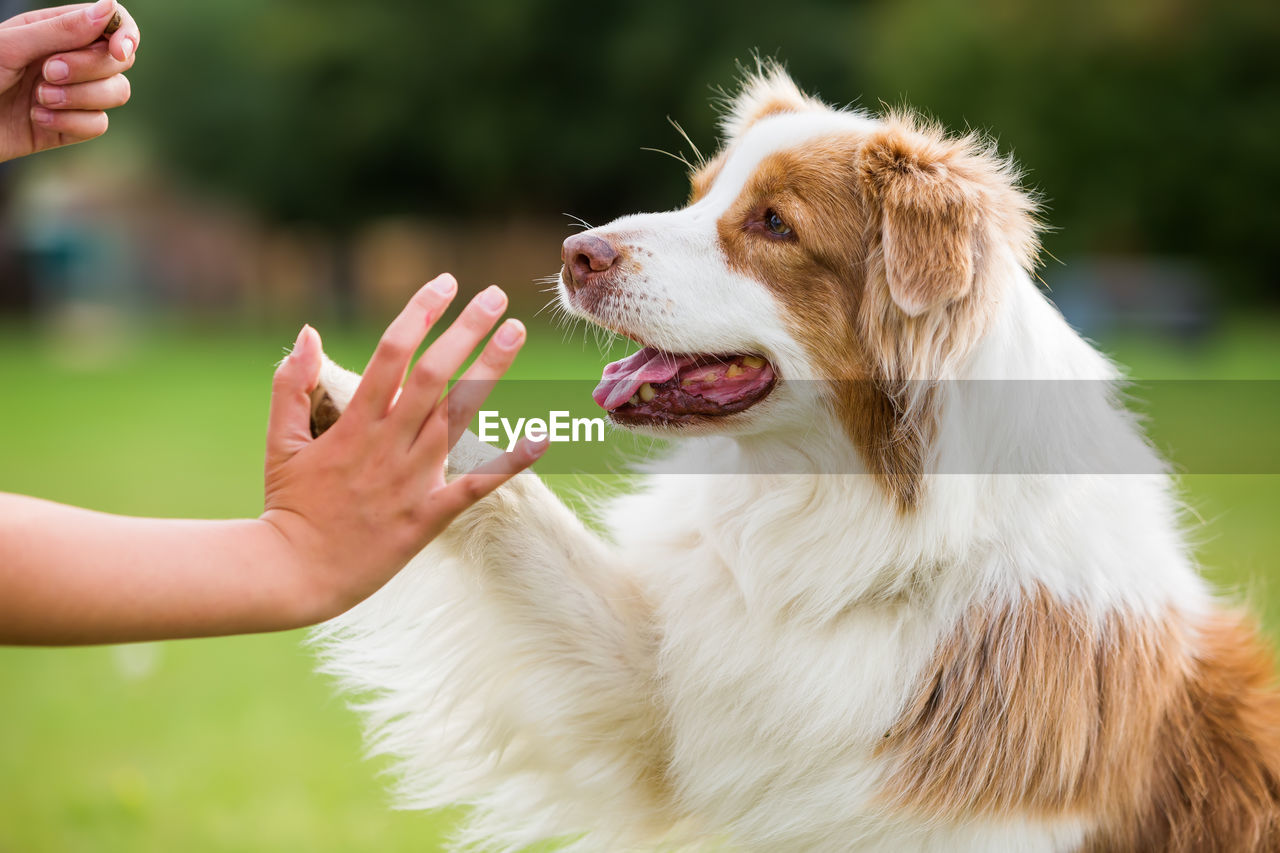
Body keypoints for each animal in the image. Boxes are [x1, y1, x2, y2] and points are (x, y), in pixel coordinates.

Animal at [302, 68, 1280, 850]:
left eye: (774, 224)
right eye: (696, 194)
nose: (576, 251)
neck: (849, 513)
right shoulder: (668, 689)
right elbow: (521, 515)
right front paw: (368, 407)